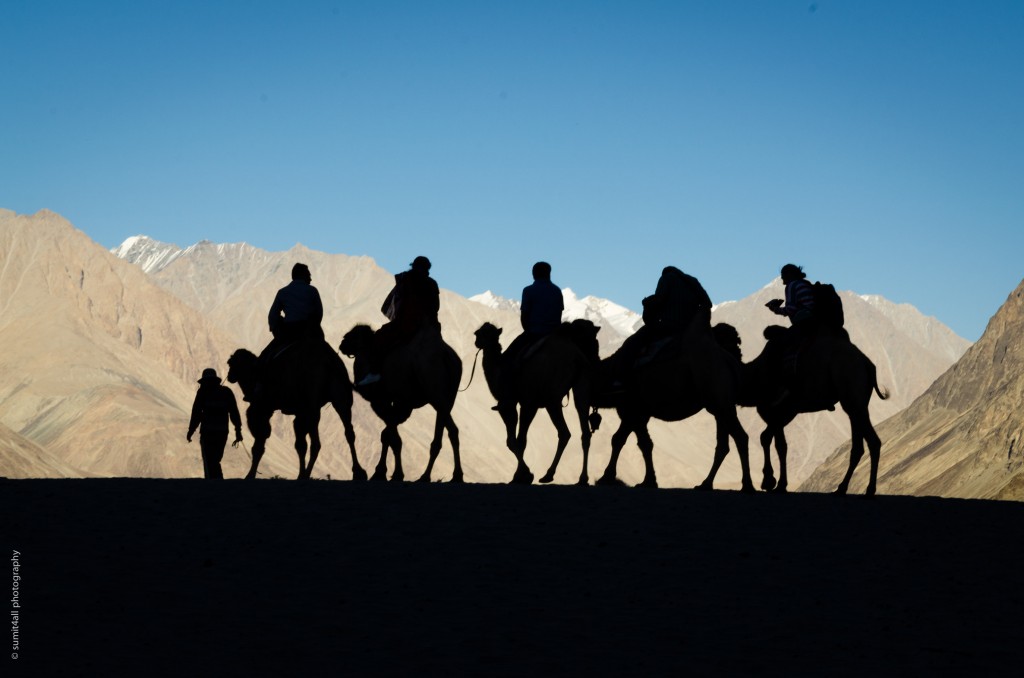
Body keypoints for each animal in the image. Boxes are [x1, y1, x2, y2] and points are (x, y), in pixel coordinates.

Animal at [227, 340, 364, 483]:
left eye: (230, 363)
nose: (230, 376)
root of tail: (328, 361)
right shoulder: (300, 413)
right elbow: (300, 444)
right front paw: (300, 474)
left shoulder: (262, 408)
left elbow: (259, 443)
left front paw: (250, 475)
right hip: (340, 398)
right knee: (348, 432)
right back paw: (358, 472)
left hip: (312, 400)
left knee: (316, 442)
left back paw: (308, 474)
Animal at [337, 325, 462, 481]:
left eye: (354, 334)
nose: (342, 343)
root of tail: (448, 358)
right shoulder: (402, 405)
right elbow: (388, 435)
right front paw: (383, 471)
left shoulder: (381, 401)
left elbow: (392, 438)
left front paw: (390, 473)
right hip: (446, 401)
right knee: (447, 434)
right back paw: (443, 476)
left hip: (435, 394)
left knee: (445, 434)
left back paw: (438, 476)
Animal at [471, 321, 598, 485]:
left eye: (479, 333)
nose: (477, 342)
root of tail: (576, 358)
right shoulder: (530, 405)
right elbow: (519, 441)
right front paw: (522, 475)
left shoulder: (512, 404)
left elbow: (513, 441)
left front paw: (524, 475)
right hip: (581, 388)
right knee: (582, 432)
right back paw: (577, 478)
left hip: (550, 399)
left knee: (563, 432)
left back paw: (549, 474)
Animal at [593, 315, 753, 491]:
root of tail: (731, 363)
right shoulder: (639, 414)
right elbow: (638, 442)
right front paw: (647, 481)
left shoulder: (631, 410)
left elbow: (624, 440)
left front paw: (608, 477)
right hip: (722, 407)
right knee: (724, 445)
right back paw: (706, 484)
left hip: (720, 403)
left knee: (740, 437)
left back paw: (747, 485)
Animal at [720, 327, 888, 497]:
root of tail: (867, 364)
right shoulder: (781, 415)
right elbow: (777, 443)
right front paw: (777, 483)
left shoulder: (778, 411)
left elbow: (770, 440)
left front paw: (771, 482)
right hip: (857, 404)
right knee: (858, 446)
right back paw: (841, 488)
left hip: (852, 393)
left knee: (873, 441)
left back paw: (869, 490)